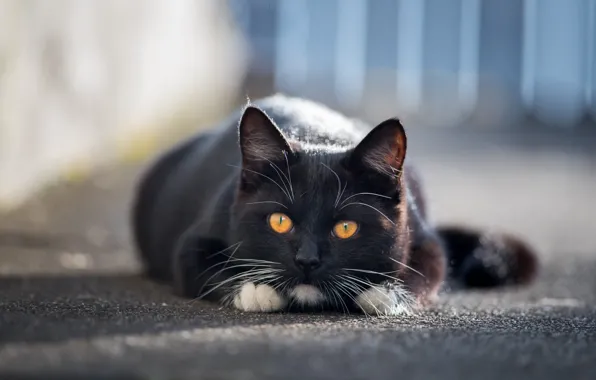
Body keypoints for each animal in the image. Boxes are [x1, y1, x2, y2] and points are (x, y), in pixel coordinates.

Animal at [132, 95, 540, 314]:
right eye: (279, 221)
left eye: (346, 227)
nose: (307, 260)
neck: (320, 136)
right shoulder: (200, 233)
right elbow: (200, 265)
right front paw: (256, 290)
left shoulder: (422, 235)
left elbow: (429, 269)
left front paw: (381, 294)